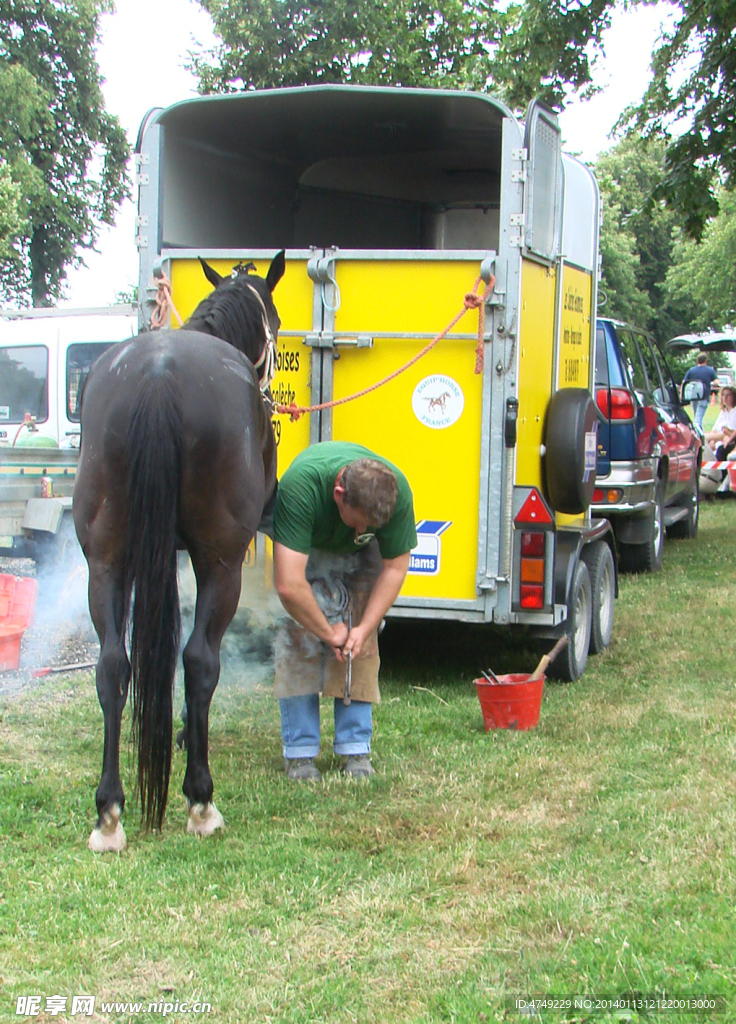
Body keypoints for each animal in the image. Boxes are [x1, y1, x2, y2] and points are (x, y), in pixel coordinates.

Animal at [72, 247, 284, 847]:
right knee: (200, 659)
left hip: (106, 563)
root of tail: (159, 375)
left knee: (113, 666)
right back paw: (200, 801)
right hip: (220, 564)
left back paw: (110, 811)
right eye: (276, 320)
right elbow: (192, 657)